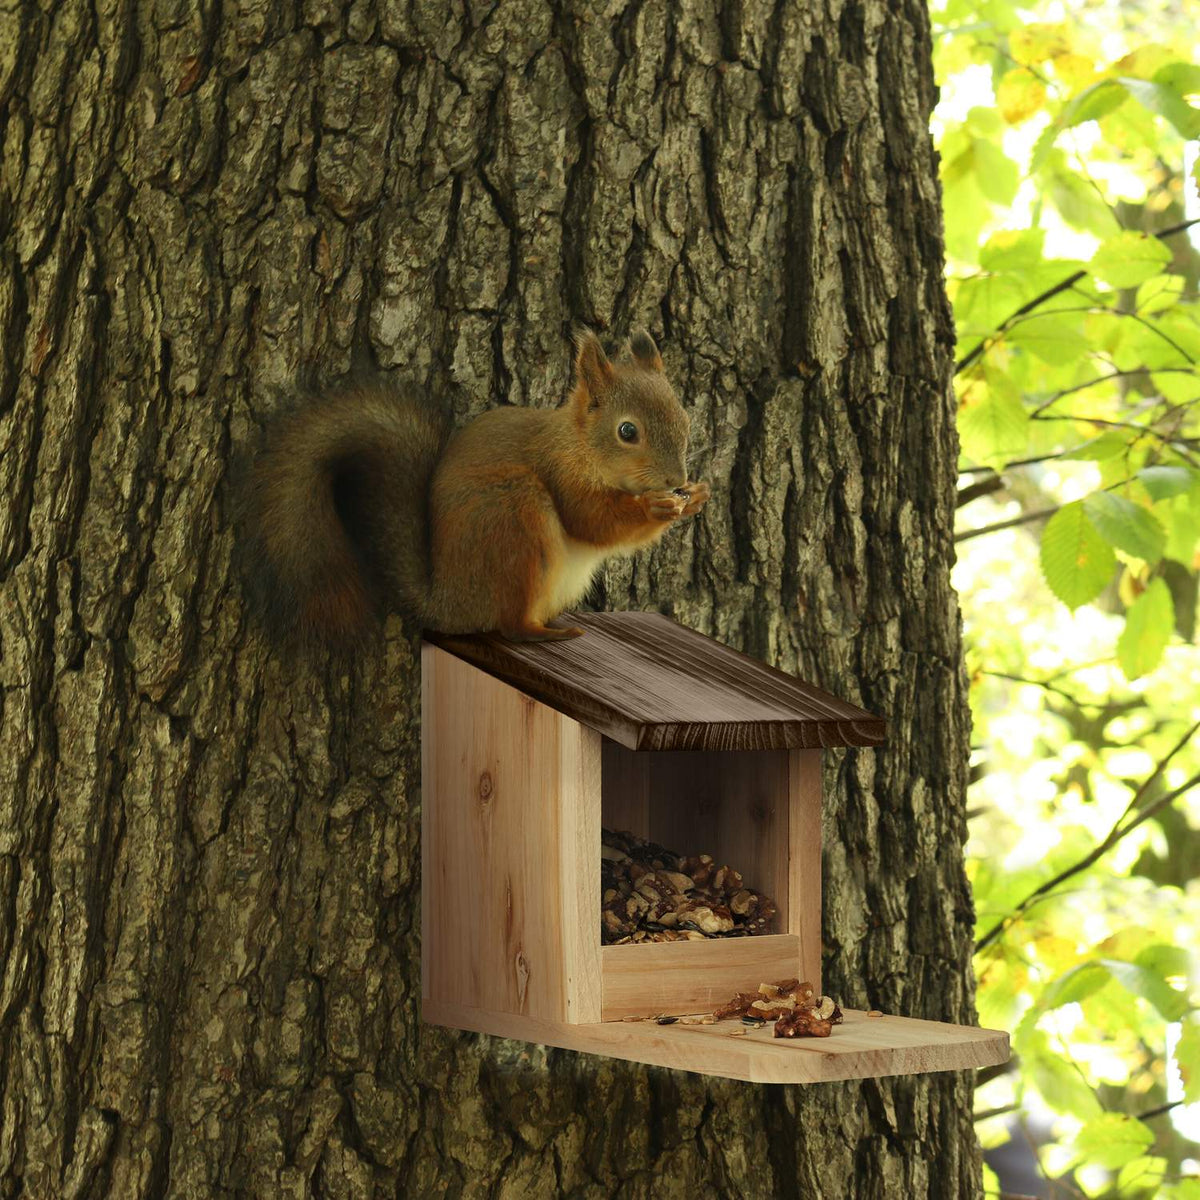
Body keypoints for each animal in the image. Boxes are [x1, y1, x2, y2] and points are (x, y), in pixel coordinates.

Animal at [242, 329, 710, 643]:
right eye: (627, 431)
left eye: (686, 418)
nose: (676, 480)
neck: (578, 444)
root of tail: (449, 603)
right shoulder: (561, 473)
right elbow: (593, 521)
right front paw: (655, 508)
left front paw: (695, 496)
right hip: (514, 518)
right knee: (510, 625)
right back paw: (544, 634)